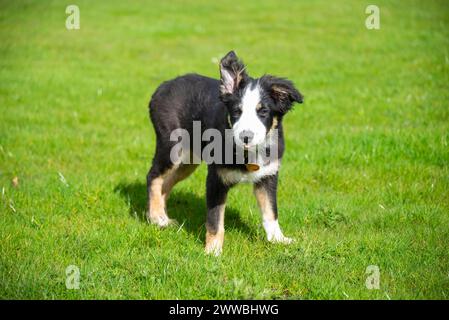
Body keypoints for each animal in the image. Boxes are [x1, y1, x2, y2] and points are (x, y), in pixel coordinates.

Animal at [145, 50, 302, 255]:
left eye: (263, 112)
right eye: (237, 112)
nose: (246, 136)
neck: (247, 153)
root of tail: (164, 85)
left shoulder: (268, 176)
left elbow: (271, 211)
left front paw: (278, 239)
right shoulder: (216, 180)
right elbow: (215, 220)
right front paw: (212, 251)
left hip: (189, 160)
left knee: (166, 182)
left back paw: (163, 216)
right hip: (172, 147)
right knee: (154, 176)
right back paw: (156, 216)